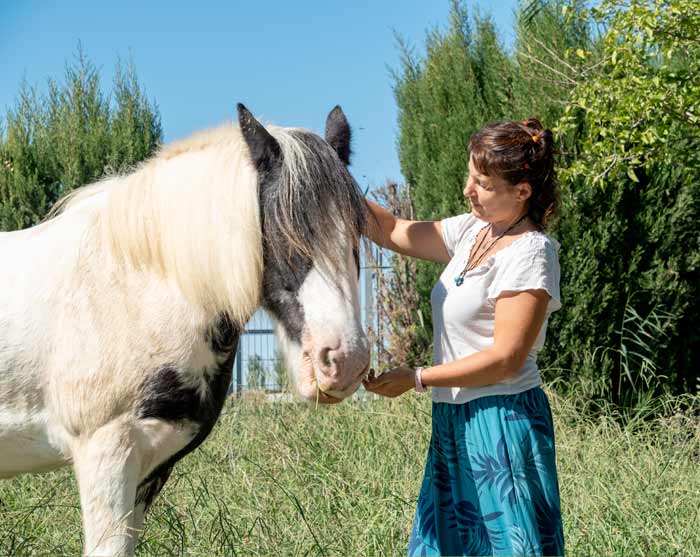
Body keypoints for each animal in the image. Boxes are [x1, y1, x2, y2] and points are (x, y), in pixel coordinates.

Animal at [0, 103, 372, 552]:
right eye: (284, 232)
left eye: (357, 232)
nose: (345, 360)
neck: (134, 287)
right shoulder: (105, 453)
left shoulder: (149, 469)